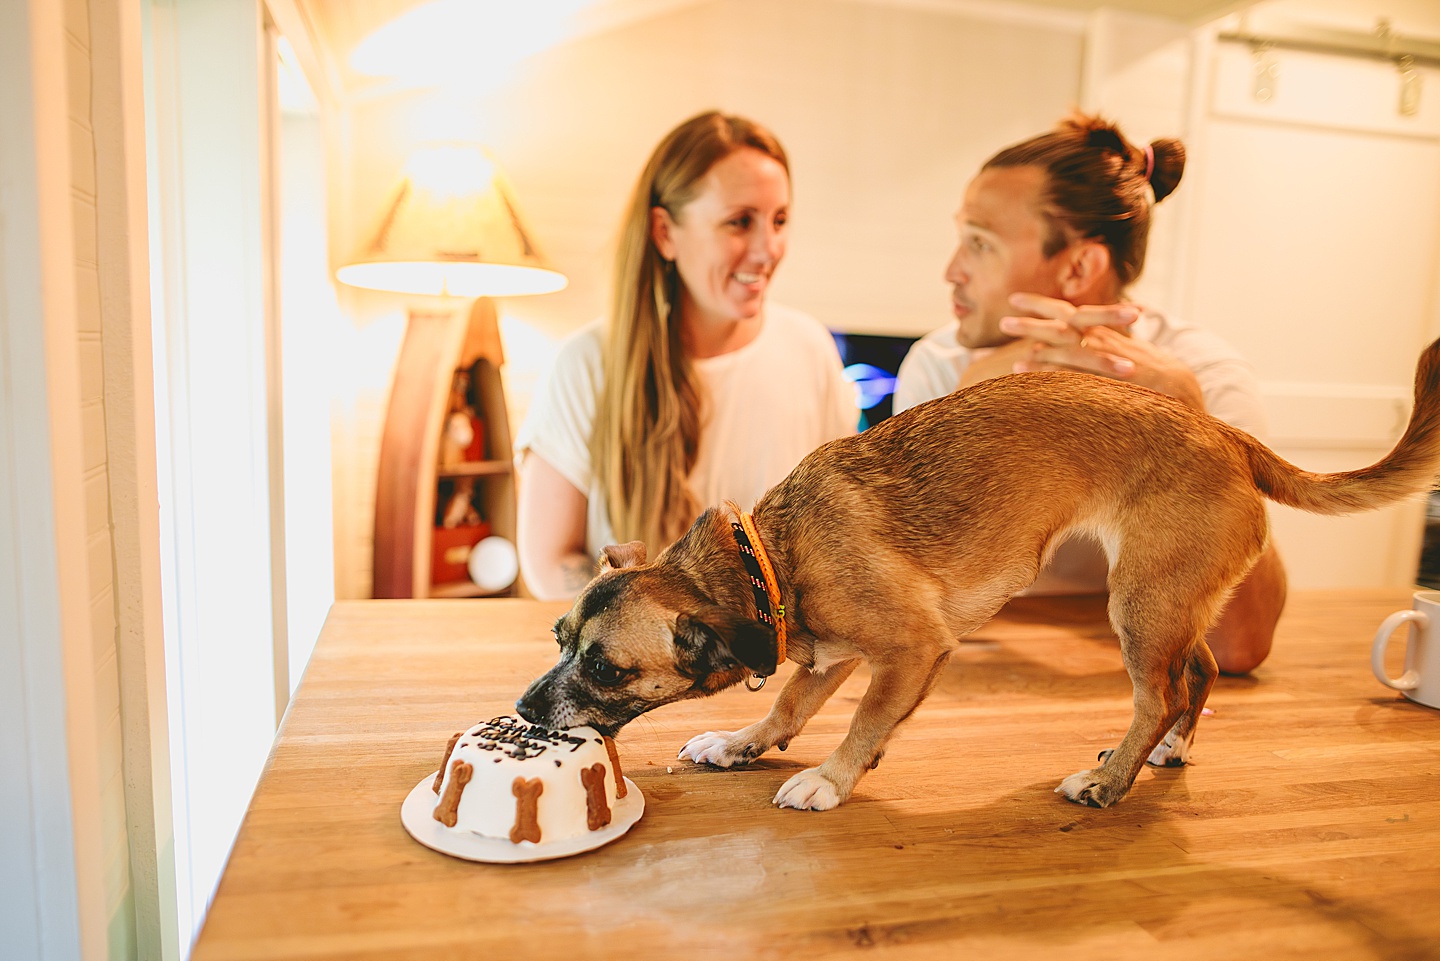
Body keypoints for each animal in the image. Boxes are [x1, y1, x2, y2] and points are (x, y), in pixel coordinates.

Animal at [518, 338, 1440, 806]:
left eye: (606, 667)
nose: (523, 709)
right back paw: (1167, 753)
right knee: (1201, 674)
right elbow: (786, 703)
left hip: (1139, 606)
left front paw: (832, 777)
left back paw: (1110, 779)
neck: (769, 559)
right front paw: (744, 742)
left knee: (1161, 693)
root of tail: (1230, 434)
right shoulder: (831, 655)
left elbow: (861, 722)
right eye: (557, 636)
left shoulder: (911, 650)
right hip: (1171, 600)